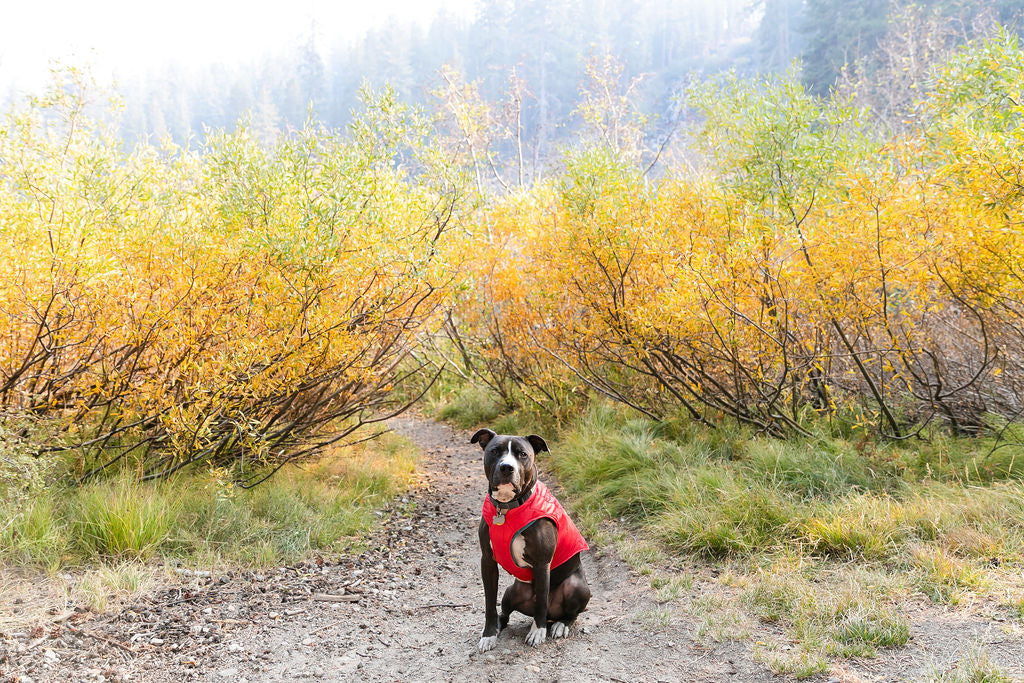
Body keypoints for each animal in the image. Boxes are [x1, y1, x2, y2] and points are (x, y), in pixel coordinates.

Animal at [471, 428, 593, 651]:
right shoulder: (487, 562)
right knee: (505, 613)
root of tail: (554, 616)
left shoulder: (542, 564)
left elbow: (542, 602)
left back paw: (560, 625)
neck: (507, 507)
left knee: (571, 614)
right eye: (495, 451)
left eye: (522, 454)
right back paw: (500, 626)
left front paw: (538, 632)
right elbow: (489, 603)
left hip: (577, 587)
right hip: (512, 592)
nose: (507, 467)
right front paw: (489, 634)